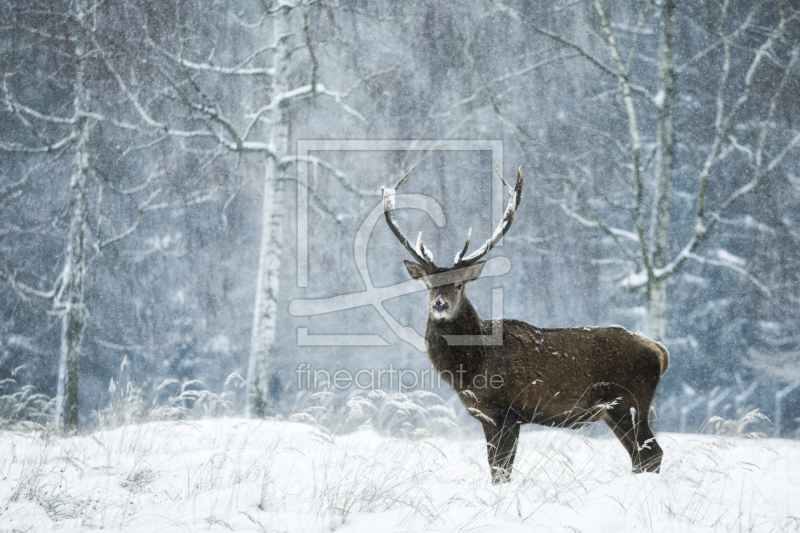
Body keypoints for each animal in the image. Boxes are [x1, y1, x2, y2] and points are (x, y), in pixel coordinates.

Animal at [382, 166, 668, 482]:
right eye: (428, 286)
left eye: (458, 285)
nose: (440, 304)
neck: (471, 367)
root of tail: (658, 349)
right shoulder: (486, 416)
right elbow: (495, 468)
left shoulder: (506, 411)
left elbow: (502, 470)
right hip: (616, 411)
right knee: (641, 456)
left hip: (629, 402)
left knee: (652, 454)